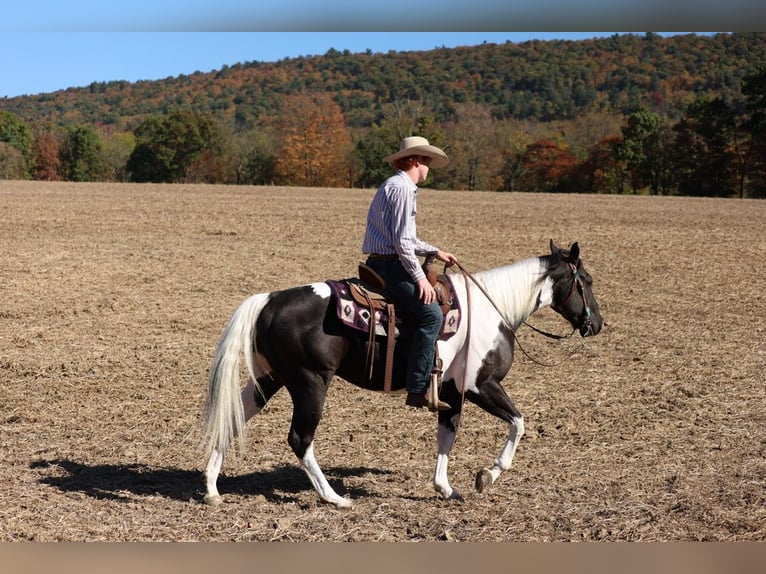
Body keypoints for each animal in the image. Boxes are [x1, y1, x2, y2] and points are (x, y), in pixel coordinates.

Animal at [199, 240, 603, 508]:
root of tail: (269, 299)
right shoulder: (480, 386)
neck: (494, 308)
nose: (596, 324)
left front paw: (445, 488)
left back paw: (213, 489)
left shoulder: (451, 392)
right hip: (310, 382)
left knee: (232, 418)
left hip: (270, 379)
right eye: (586, 280)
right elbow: (518, 423)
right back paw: (335, 498)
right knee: (300, 438)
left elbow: (447, 436)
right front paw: (487, 475)